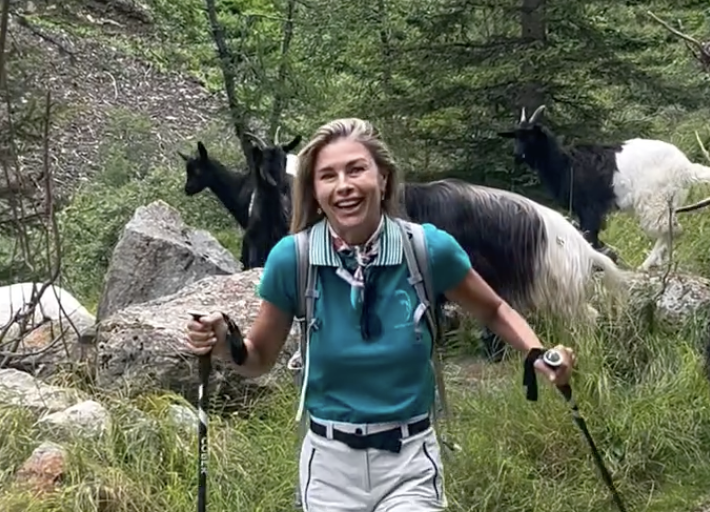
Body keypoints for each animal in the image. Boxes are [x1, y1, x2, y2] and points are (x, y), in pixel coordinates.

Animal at [497, 105, 710, 271]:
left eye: (531, 136)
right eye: (516, 136)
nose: (517, 156)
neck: (566, 163)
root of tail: (685, 168)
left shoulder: (590, 207)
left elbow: (590, 235)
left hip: (655, 200)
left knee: (670, 229)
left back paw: (647, 264)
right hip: (669, 202)